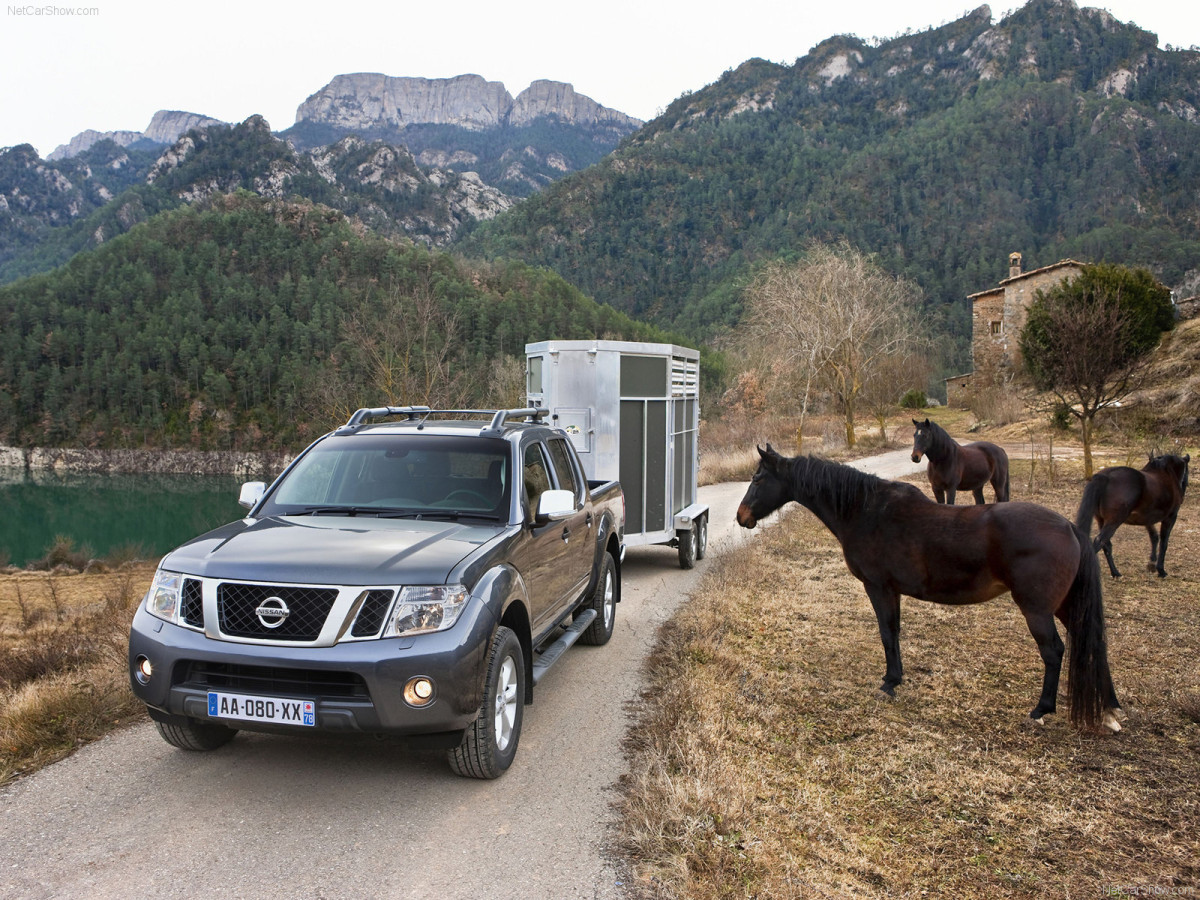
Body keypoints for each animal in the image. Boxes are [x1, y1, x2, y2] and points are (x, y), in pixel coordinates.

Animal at [734, 444, 1118, 734]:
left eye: (758, 478)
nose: (741, 516)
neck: (865, 510)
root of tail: (1069, 528)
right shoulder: (892, 590)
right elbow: (894, 632)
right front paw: (896, 678)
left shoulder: (879, 587)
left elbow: (887, 633)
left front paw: (890, 682)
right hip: (1066, 606)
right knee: (1093, 641)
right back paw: (1111, 707)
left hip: (1037, 610)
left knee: (1054, 651)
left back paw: (1042, 709)